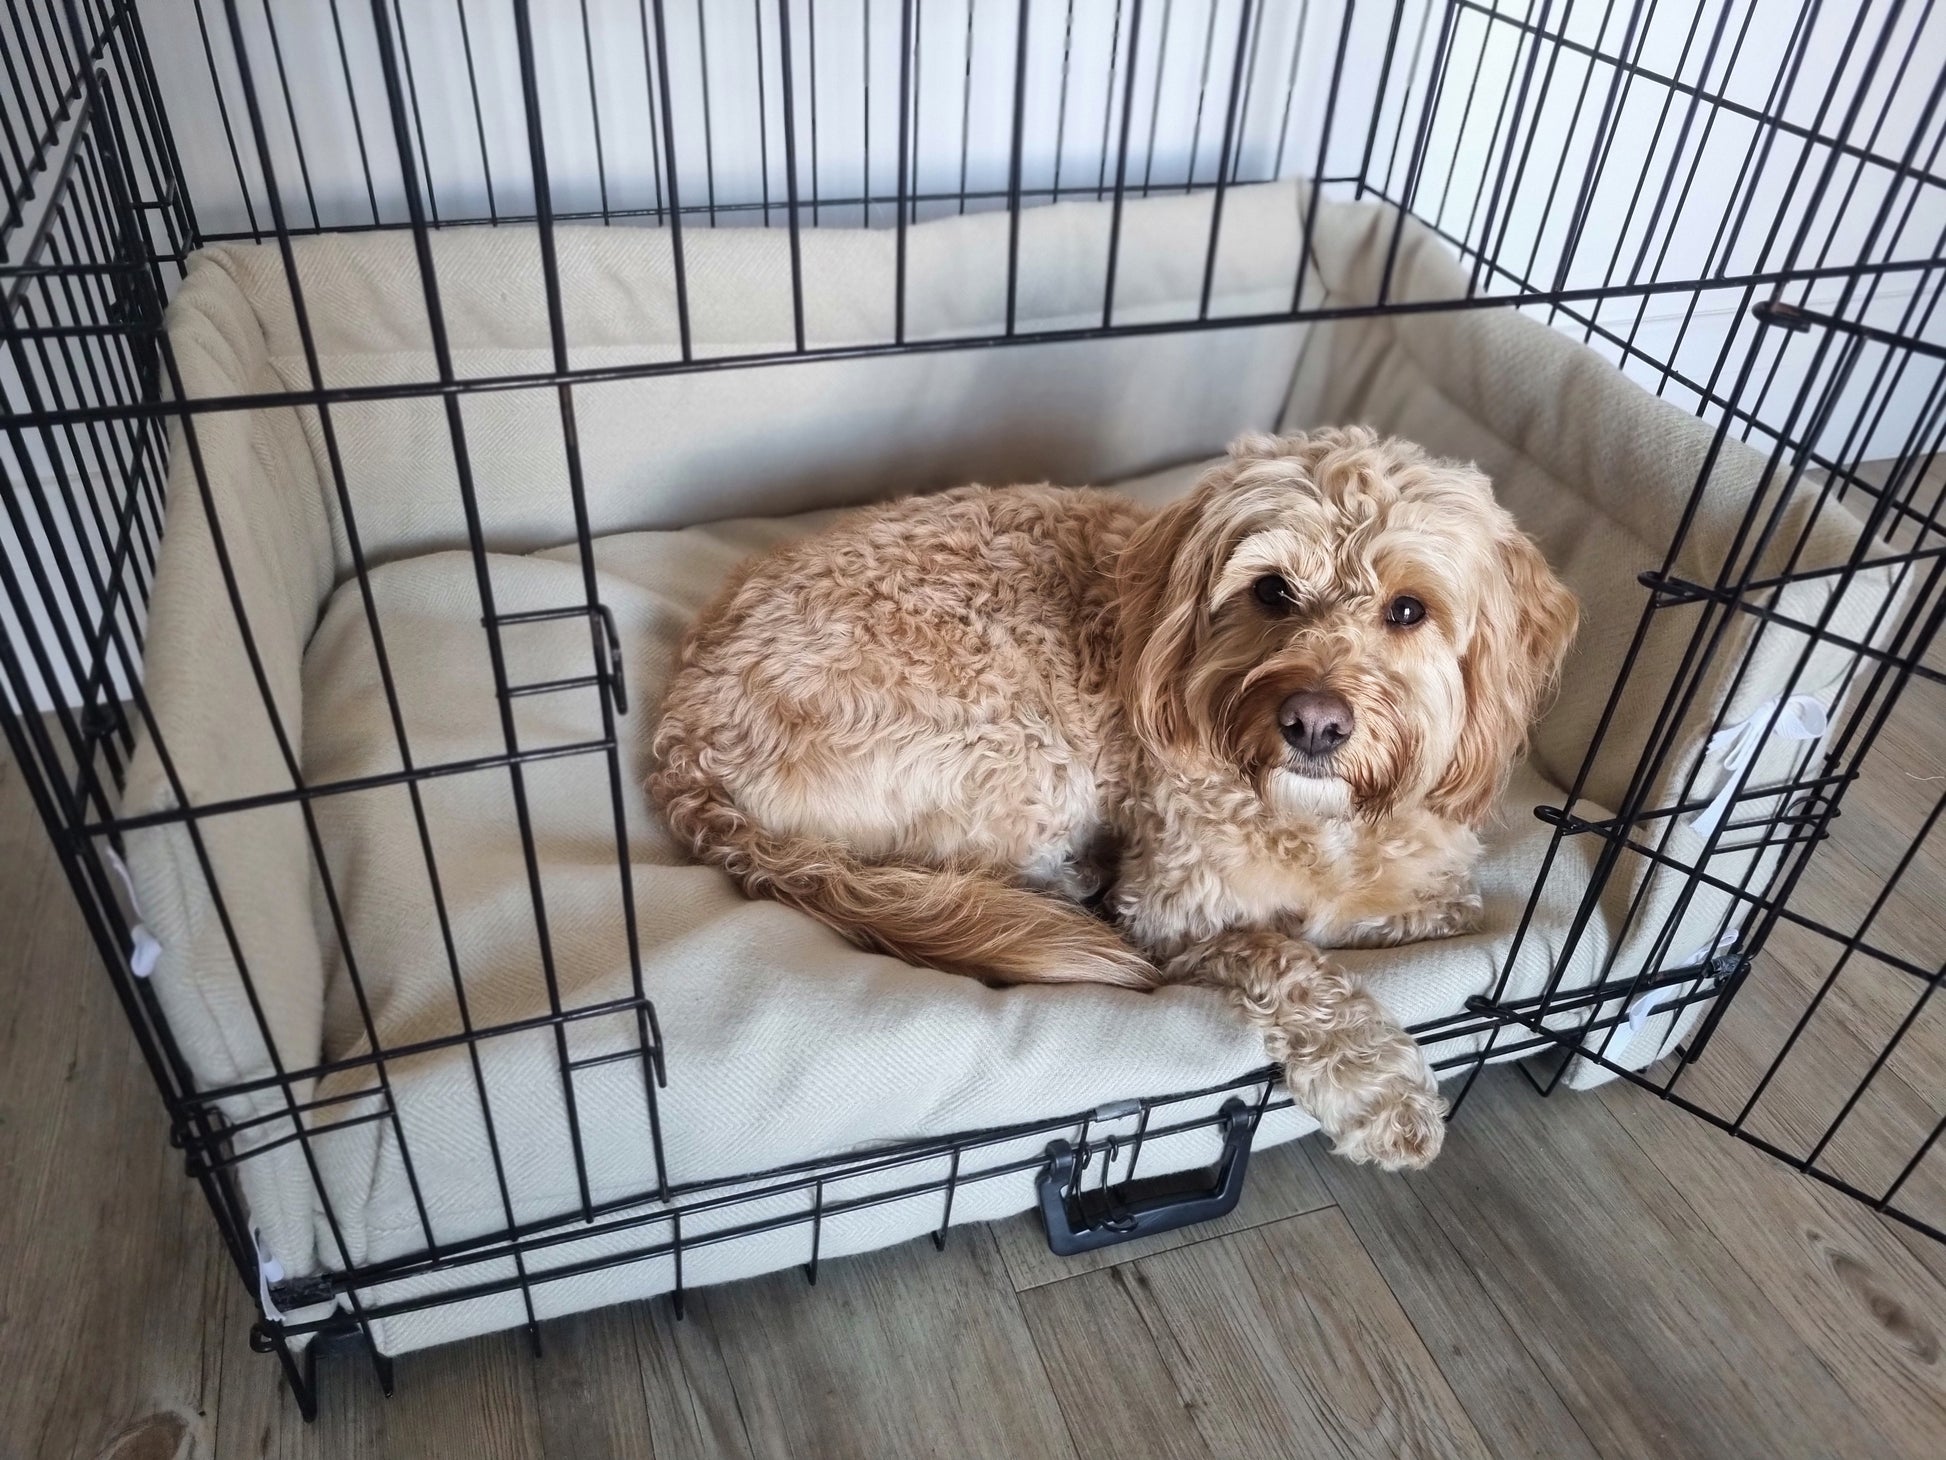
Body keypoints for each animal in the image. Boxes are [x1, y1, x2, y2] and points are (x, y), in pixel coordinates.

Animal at [653, 428, 1580, 1175]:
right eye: (1272, 590)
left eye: (1408, 610)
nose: (1313, 722)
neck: (1318, 822)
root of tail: (686, 735)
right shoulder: (1173, 917)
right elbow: (1289, 958)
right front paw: (1379, 1087)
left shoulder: (1440, 892)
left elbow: (1423, 914)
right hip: (1022, 747)